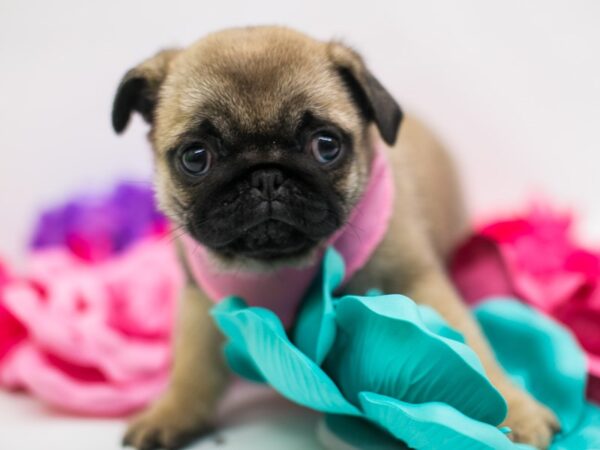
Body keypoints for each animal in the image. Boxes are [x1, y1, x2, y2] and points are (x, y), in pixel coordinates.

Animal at [113, 25, 556, 450]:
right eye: (195, 157)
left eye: (326, 145)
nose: (265, 176)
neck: (279, 265)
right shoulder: (200, 302)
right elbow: (192, 366)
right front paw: (170, 413)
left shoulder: (417, 281)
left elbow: (473, 351)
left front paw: (515, 411)